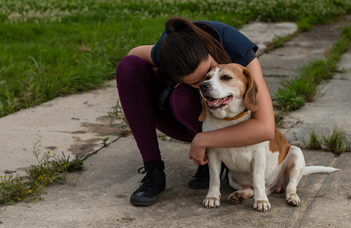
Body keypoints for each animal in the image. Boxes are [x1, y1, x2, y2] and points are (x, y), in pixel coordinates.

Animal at [198, 62, 338, 212]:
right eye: (207, 77)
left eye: (225, 77)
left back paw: (291, 196)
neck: (230, 120)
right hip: (231, 177)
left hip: (296, 153)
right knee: (252, 189)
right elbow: (214, 179)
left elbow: (258, 179)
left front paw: (261, 201)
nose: (202, 86)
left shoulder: (258, 156)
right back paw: (239, 195)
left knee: (290, 185)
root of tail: (273, 187)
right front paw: (212, 197)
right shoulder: (213, 154)